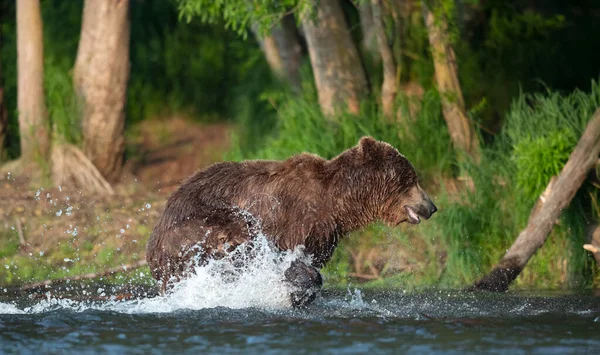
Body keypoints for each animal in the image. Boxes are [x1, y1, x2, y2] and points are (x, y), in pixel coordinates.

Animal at [145, 136, 436, 306]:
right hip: (198, 225)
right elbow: (287, 260)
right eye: (412, 179)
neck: (337, 204)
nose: (432, 207)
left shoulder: (322, 234)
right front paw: (297, 290)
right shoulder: (293, 220)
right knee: (237, 234)